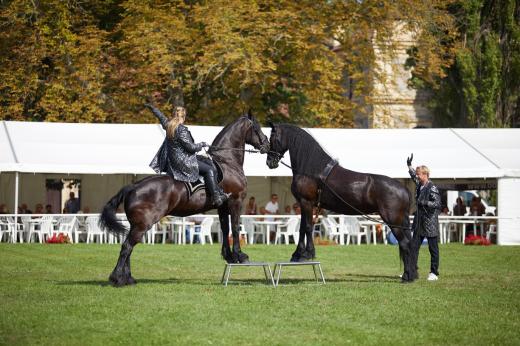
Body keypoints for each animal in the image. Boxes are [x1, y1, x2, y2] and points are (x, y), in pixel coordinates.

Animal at [98, 113, 268, 286]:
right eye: (257, 127)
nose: (267, 144)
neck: (227, 161)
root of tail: (132, 186)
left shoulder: (222, 206)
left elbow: (225, 229)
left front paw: (229, 256)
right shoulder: (236, 201)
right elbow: (235, 228)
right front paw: (240, 256)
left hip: (136, 225)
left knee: (128, 247)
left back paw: (128, 278)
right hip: (142, 225)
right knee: (127, 246)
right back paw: (118, 278)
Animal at [266, 123, 416, 282]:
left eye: (272, 137)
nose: (270, 162)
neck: (312, 170)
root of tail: (403, 189)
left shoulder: (306, 202)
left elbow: (306, 227)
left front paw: (305, 255)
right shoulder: (305, 204)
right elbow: (303, 228)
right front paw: (299, 254)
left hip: (393, 221)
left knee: (405, 244)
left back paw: (407, 277)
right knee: (410, 244)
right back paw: (411, 274)